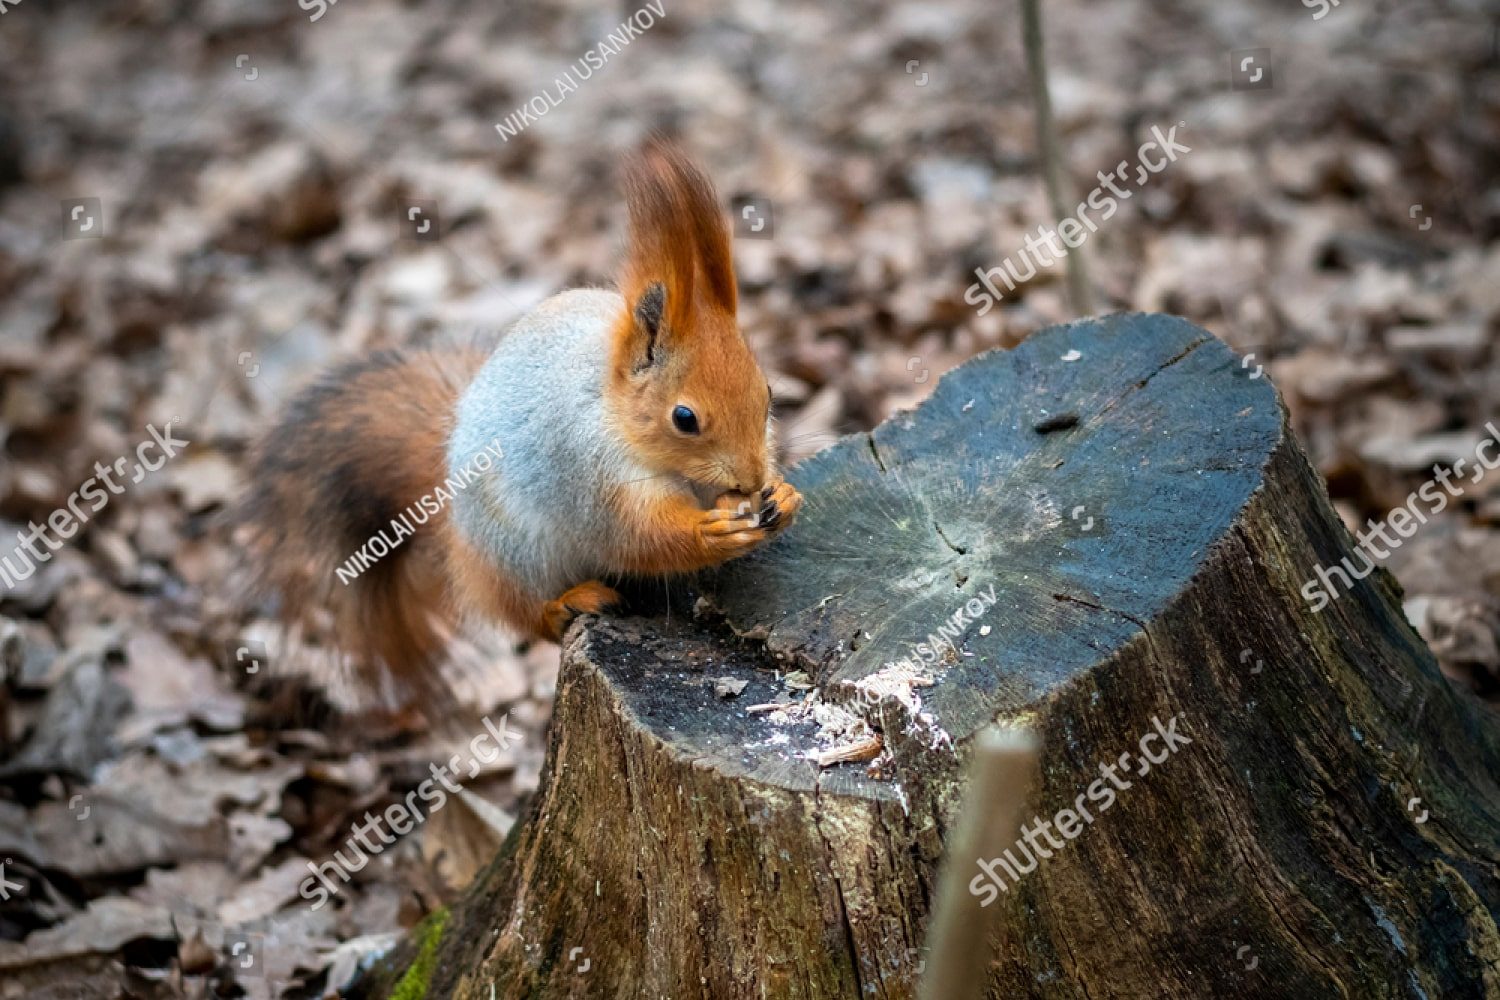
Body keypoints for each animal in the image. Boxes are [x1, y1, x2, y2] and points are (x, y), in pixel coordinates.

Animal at [237, 141, 802, 709]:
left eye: (767, 395)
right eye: (684, 418)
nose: (752, 479)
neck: (612, 407)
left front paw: (781, 496)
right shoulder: (587, 472)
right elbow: (639, 538)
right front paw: (711, 532)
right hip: (516, 553)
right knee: (524, 615)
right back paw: (568, 603)